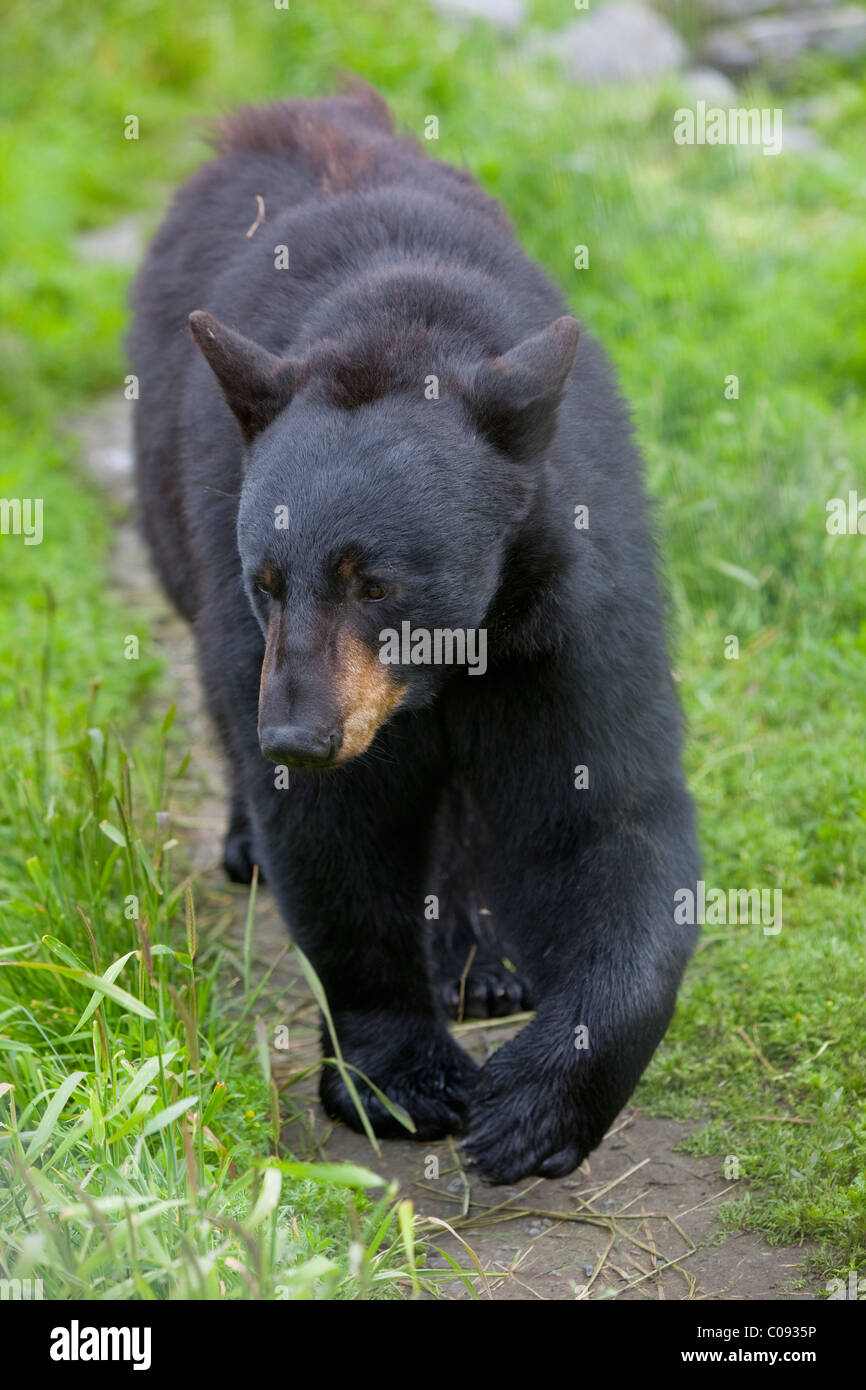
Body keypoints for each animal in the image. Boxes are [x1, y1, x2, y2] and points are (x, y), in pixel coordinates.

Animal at [129, 82, 700, 1184]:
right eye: (269, 581)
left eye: (376, 581)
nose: (297, 736)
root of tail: (283, 108)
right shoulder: (253, 620)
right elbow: (334, 842)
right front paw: (399, 1077)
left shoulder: (566, 604)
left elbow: (606, 815)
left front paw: (532, 1106)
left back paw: (482, 960)